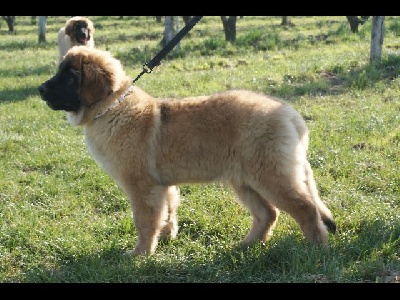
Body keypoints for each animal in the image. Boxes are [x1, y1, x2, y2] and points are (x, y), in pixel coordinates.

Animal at [39, 46, 336, 255]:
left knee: (306, 209)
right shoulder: (162, 185)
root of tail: (290, 114)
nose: (40, 89)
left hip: (271, 175)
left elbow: (144, 221)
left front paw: (140, 253)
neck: (112, 107)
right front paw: (167, 236)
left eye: (71, 76)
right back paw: (247, 245)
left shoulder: (142, 186)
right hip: (244, 179)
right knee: (268, 213)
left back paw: (315, 249)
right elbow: (168, 212)